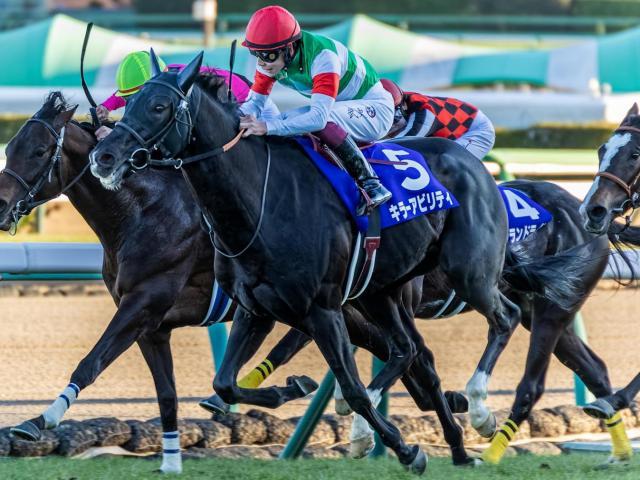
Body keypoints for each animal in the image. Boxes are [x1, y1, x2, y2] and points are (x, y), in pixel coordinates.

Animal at [89, 51, 589, 472]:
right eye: (130, 103)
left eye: (158, 107)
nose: (104, 154)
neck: (257, 200)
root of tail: (477, 167)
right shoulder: (255, 308)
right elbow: (224, 382)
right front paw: (291, 388)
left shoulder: (321, 309)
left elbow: (350, 386)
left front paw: (400, 447)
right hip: (382, 292)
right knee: (410, 350)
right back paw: (459, 446)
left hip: (470, 272)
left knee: (502, 317)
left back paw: (481, 408)